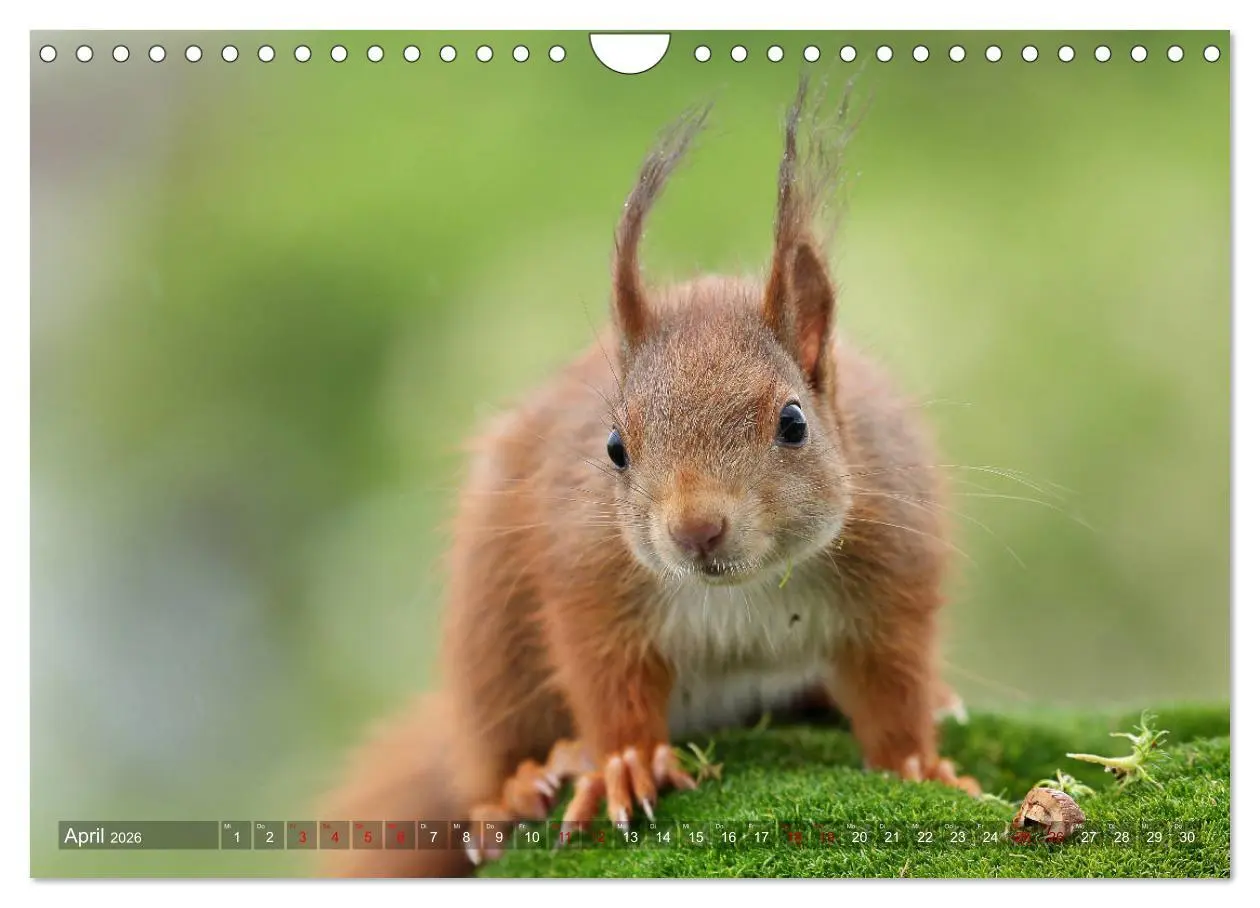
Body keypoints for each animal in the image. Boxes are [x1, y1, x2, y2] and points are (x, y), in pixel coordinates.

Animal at [320, 77, 979, 878]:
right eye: (614, 448)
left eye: (794, 423)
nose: (696, 529)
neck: (745, 592)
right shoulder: (590, 577)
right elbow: (608, 681)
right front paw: (623, 765)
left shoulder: (894, 570)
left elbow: (894, 683)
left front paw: (919, 762)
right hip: (488, 641)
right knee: (490, 745)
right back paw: (516, 788)